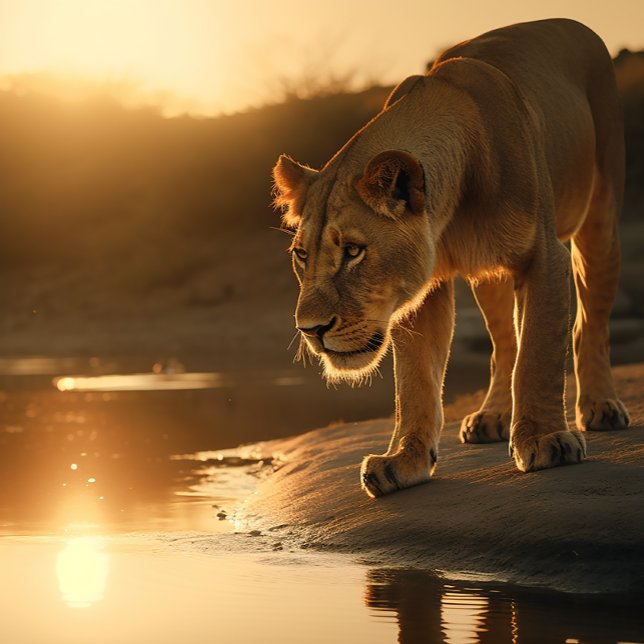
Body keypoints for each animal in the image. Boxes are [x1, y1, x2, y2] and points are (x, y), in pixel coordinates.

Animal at [272, 18, 631, 498]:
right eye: (301, 255)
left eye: (353, 251)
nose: (310, 330)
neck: (450, 213)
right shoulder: (422, 289)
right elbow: (416, 380)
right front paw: (403, 461)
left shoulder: (545, 254)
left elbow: (538, 351)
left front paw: (545, 440)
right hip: (489, 277)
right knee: (503, 345)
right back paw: (492, 417)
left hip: (601, 221)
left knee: (589, 324)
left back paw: (601, 405)